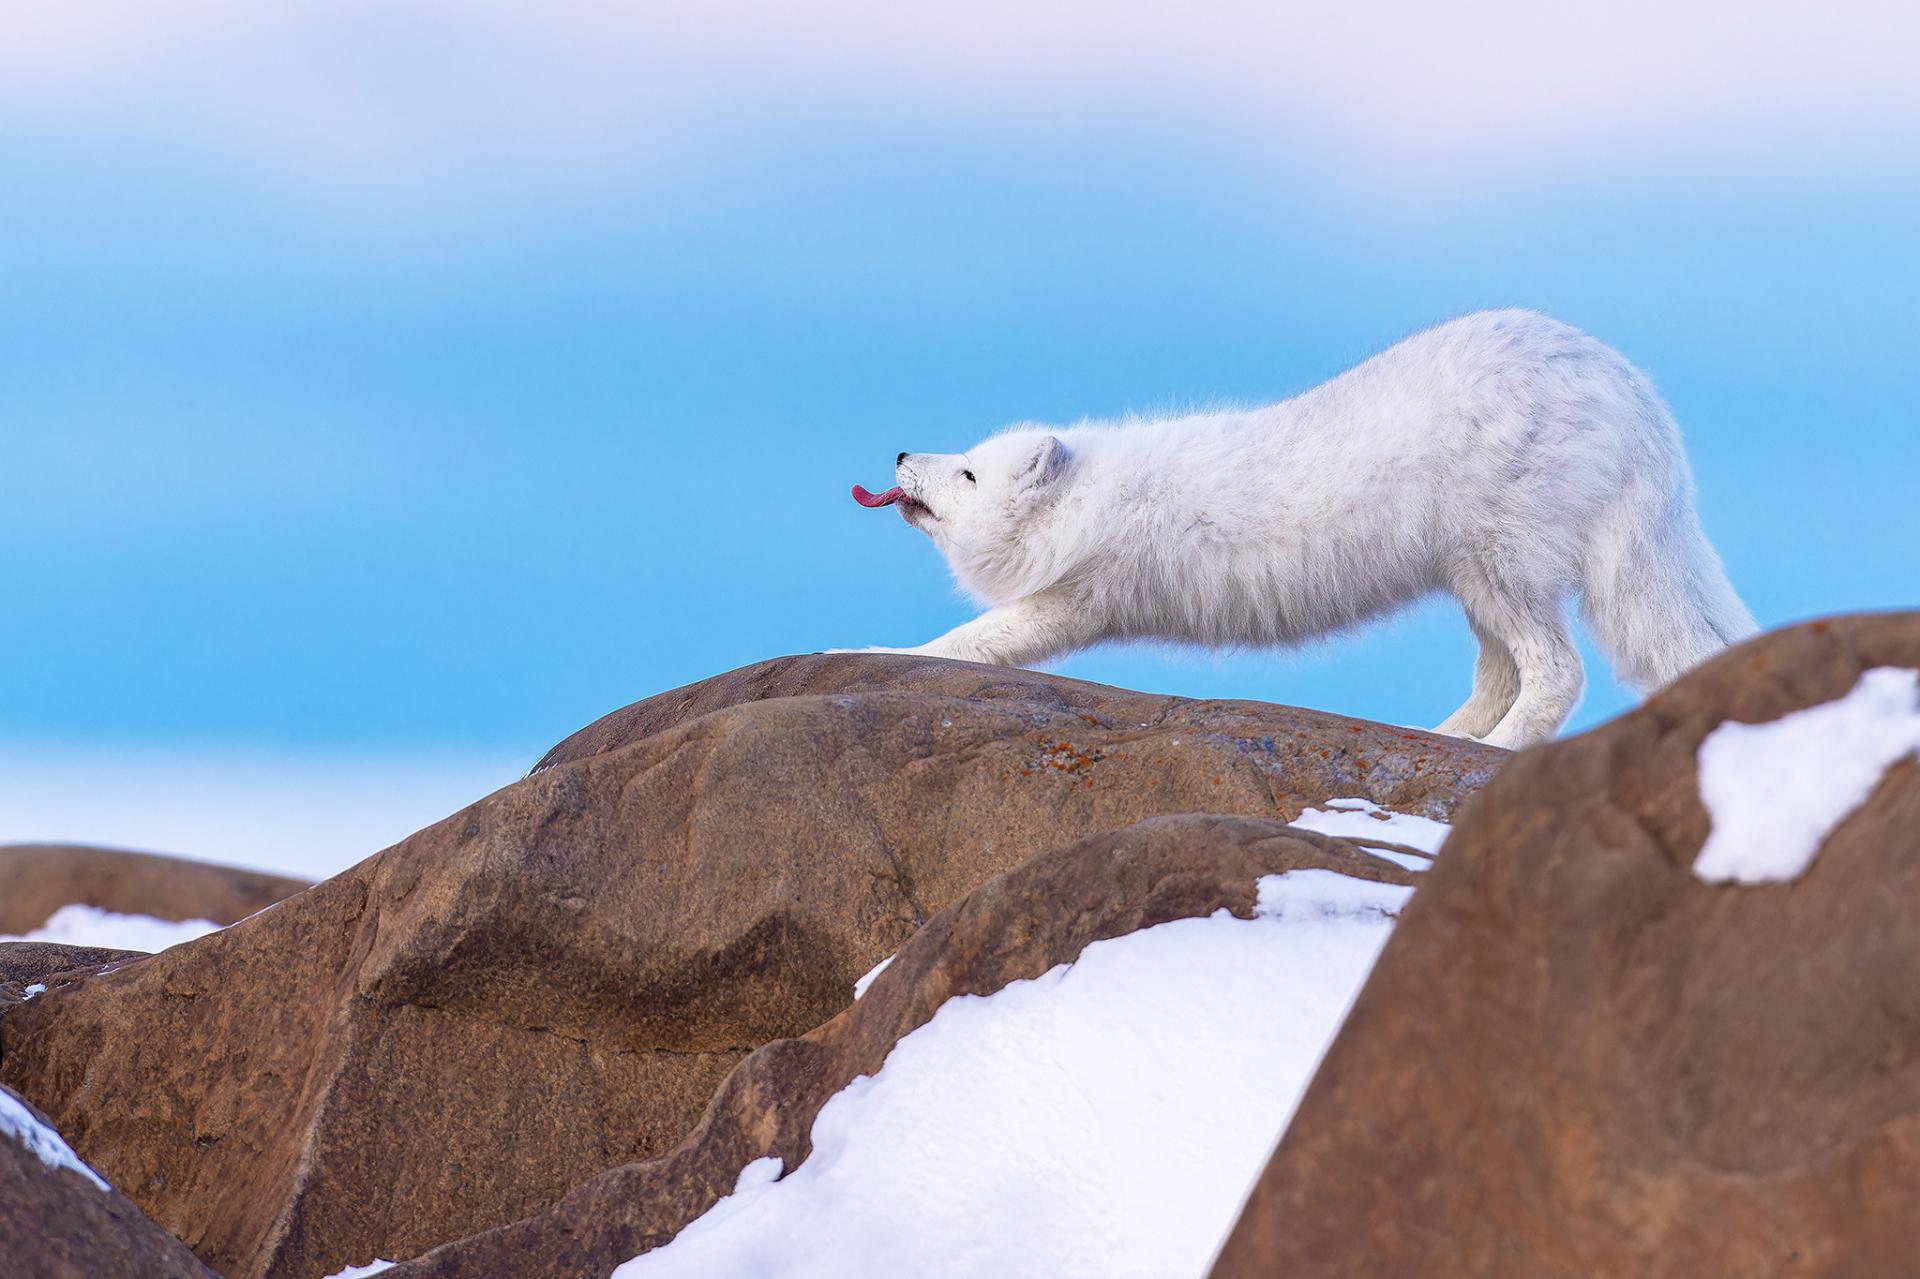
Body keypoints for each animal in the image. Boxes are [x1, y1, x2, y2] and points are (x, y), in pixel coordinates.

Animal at [856, 309, 1758, 748]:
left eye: (968, 474)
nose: (898, 453)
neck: (1100, 495)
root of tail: (1634, 393)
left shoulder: (1076, 598)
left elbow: (971, 640)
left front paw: (873, 652)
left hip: (1499, 561)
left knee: (1558, 673)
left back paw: (1501, 750)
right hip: (1476, 577)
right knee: (1501, 673)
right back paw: (1437, 736)